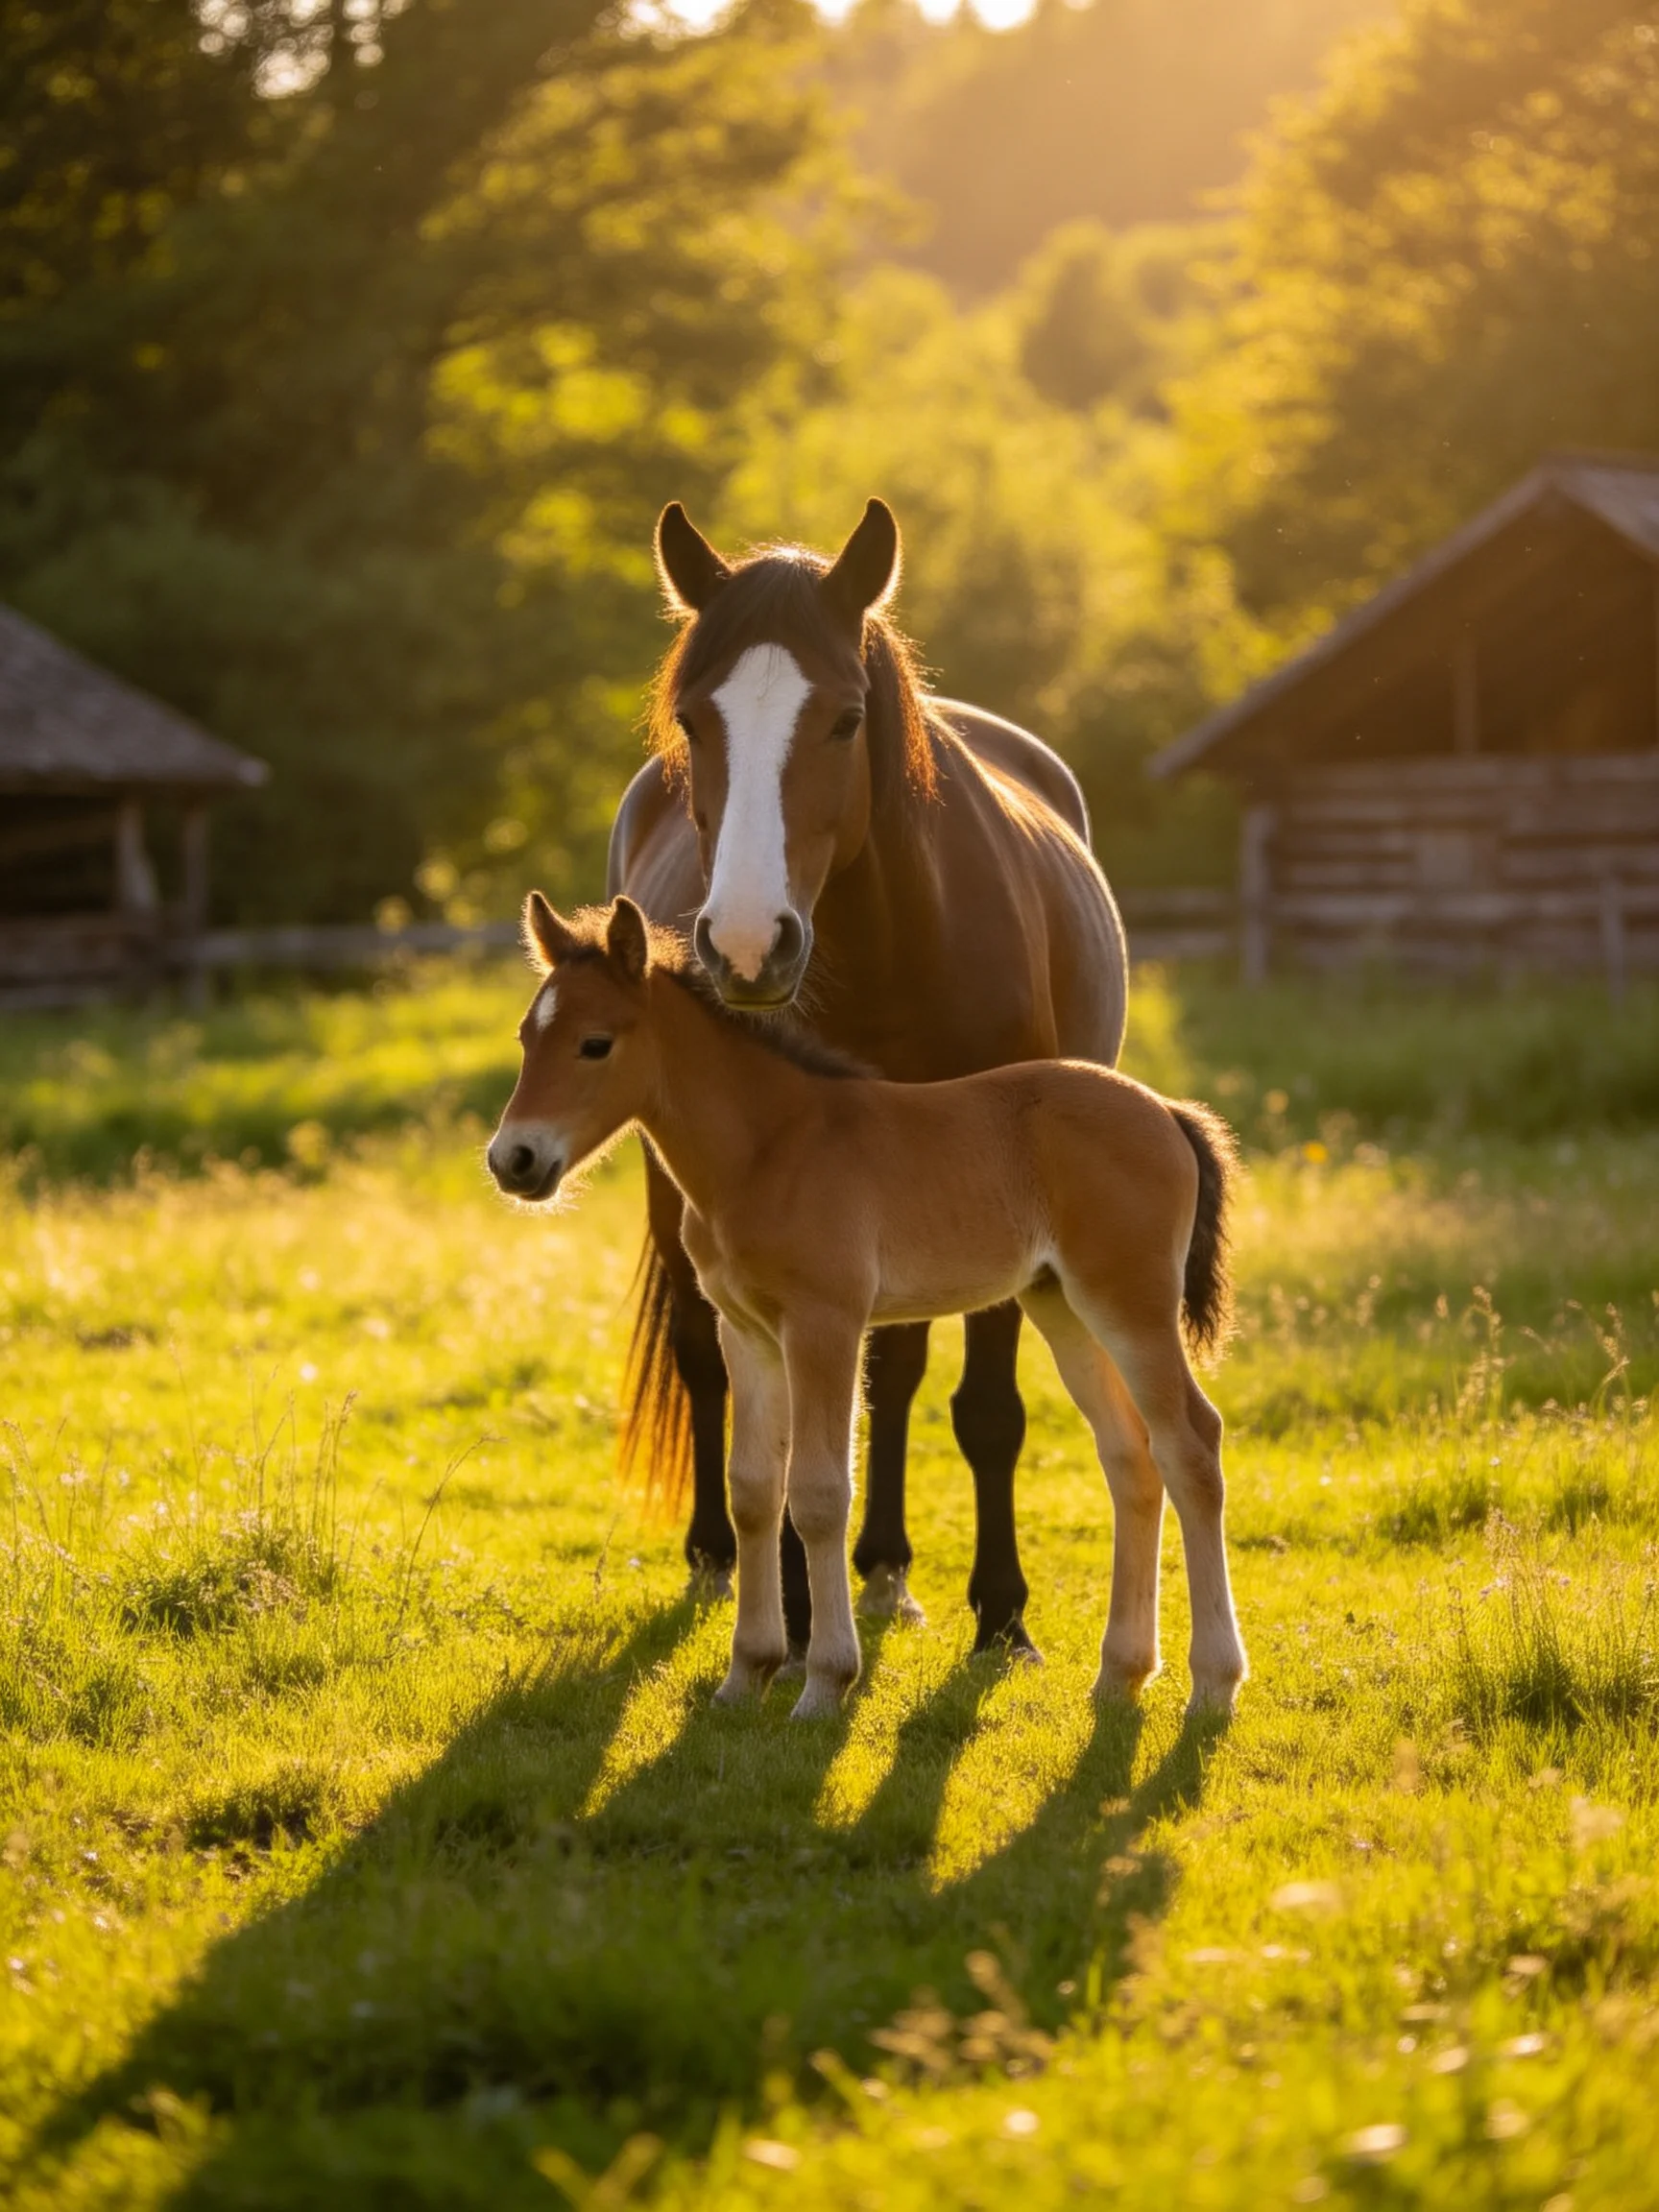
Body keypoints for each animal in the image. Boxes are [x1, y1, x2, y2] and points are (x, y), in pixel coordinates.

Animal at [488, 895, 1248, 1722]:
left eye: (595, 1043)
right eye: (527, 1035)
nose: (513, 1160)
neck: (769, 1148)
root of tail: (1167, 1112)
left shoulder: (826, 1322)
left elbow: (819, 1494)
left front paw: (824, 1683)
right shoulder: (745, 1331)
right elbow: (754, 1490)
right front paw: (744, 1675)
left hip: (1130, 1302)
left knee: (1191, 1444)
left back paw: (1212, 1684)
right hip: (1064, 1307)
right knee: (1130, 1455)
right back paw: (1120, 1676)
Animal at [607, 496, 1128, 1657]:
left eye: (846, 719)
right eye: (695, 722)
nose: (745, 946)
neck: (899, 944)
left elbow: (979, 1408)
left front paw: (1002, 1611)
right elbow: (790, 1415)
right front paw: (798, 1617)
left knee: (893, 1372)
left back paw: (885, 1563)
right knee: (708, 1358)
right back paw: (721, 1555)